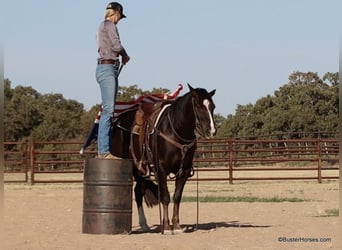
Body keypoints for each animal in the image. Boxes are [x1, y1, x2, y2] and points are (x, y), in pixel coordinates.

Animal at [110, 84, 216, 234]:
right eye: (199, 106)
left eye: (213, 106)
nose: (211, 131)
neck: (175, 130)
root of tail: (118, 122)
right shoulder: (161, 169)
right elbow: (165, 197)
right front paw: (166, 227)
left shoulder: (184, 171)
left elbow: (177, 197)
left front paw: (176, 226)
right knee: (137, 193)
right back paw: (144, 224)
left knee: (138, 191)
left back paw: (144, 225)